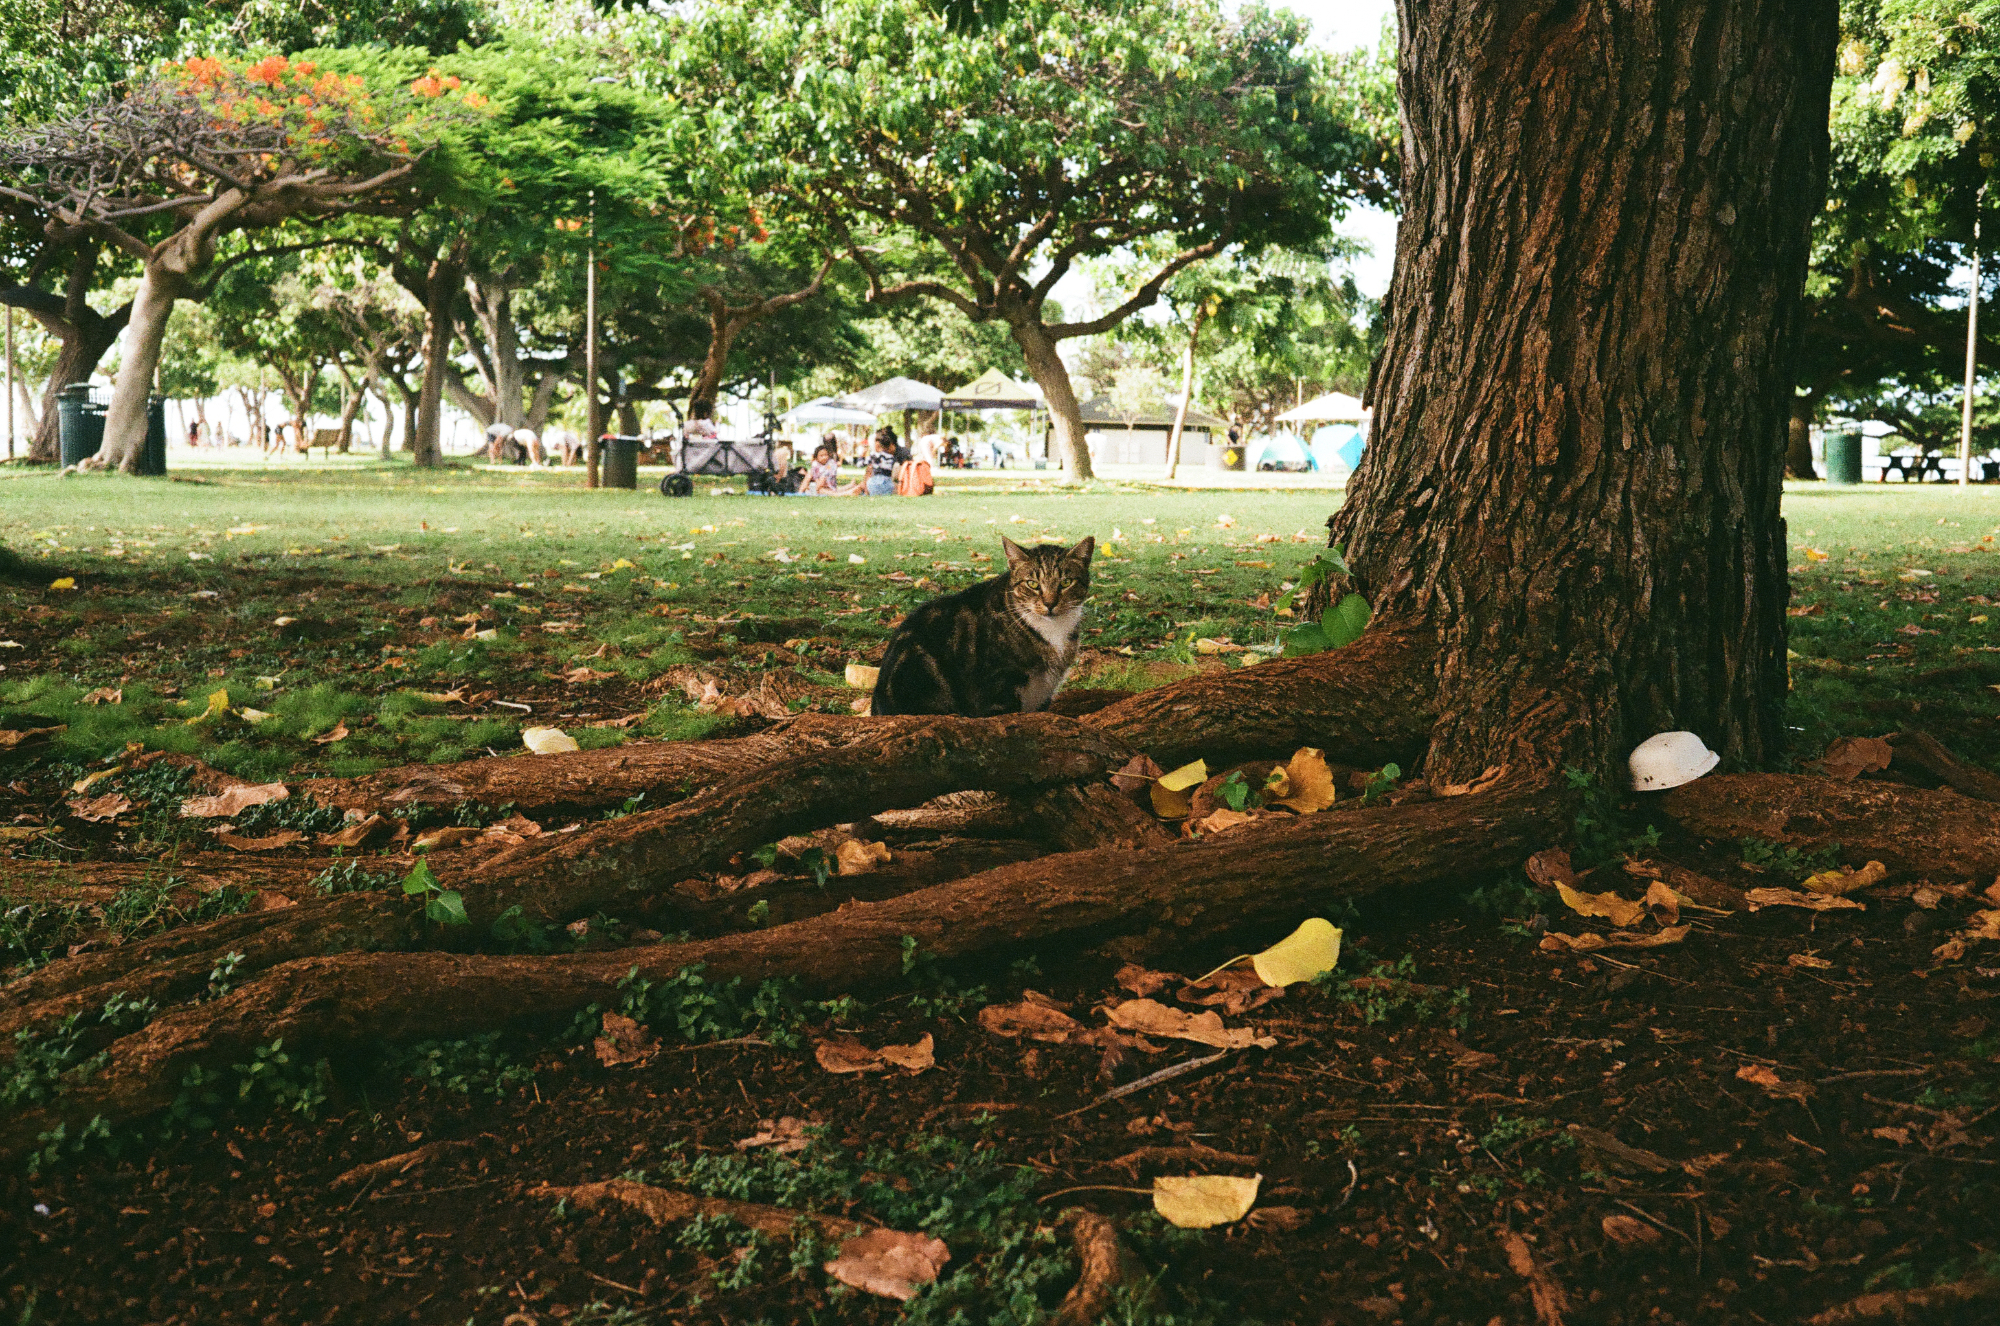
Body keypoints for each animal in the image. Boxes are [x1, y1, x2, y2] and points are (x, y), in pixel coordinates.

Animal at [872, 536, 1096, 720]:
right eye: (1032, 584)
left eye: (1066, 582)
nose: (1050, 604)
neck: (1052, 630)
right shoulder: (996, 686)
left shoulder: (1044, 693)